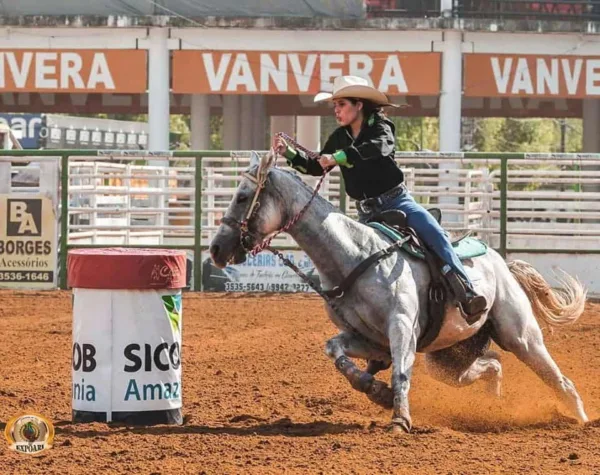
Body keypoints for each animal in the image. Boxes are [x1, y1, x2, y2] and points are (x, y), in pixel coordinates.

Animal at [210, 151, 584, 434]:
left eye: (242, 196)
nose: (215, 249)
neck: (355, 255)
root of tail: (501, 261)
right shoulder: (369, 340)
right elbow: (335, 351)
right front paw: (377, 392)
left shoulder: (401, 328)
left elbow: (401, 373)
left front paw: (400, 419)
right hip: (447, 361)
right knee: (493, 365)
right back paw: (493, 405)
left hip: (520, 336)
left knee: (560, 381)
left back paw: (580, 419)